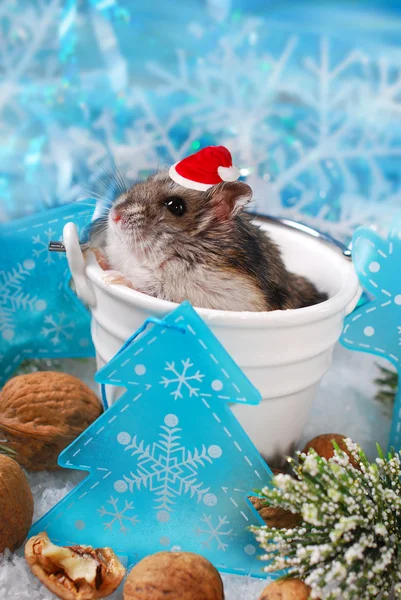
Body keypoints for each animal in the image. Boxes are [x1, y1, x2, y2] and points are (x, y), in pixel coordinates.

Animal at [98, 171, 326, 312]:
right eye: (147, 179)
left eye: (175, 206)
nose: (114, 215)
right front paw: (99, 259)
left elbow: (148, 289)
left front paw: (112, 278)